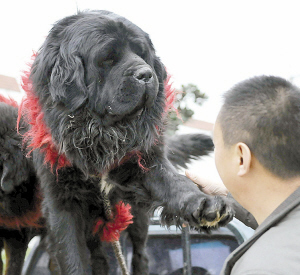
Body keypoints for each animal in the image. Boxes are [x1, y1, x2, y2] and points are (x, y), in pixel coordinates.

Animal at [19, 9, 233, 274]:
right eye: (107, 58)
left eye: (142, 53)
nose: (146, 74)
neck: (99, 134)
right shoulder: (61, 202)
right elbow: (72, 258)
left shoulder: (145, 163)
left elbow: (176, 183)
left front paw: (205, 204)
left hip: (135, 222)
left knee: (140, 255)